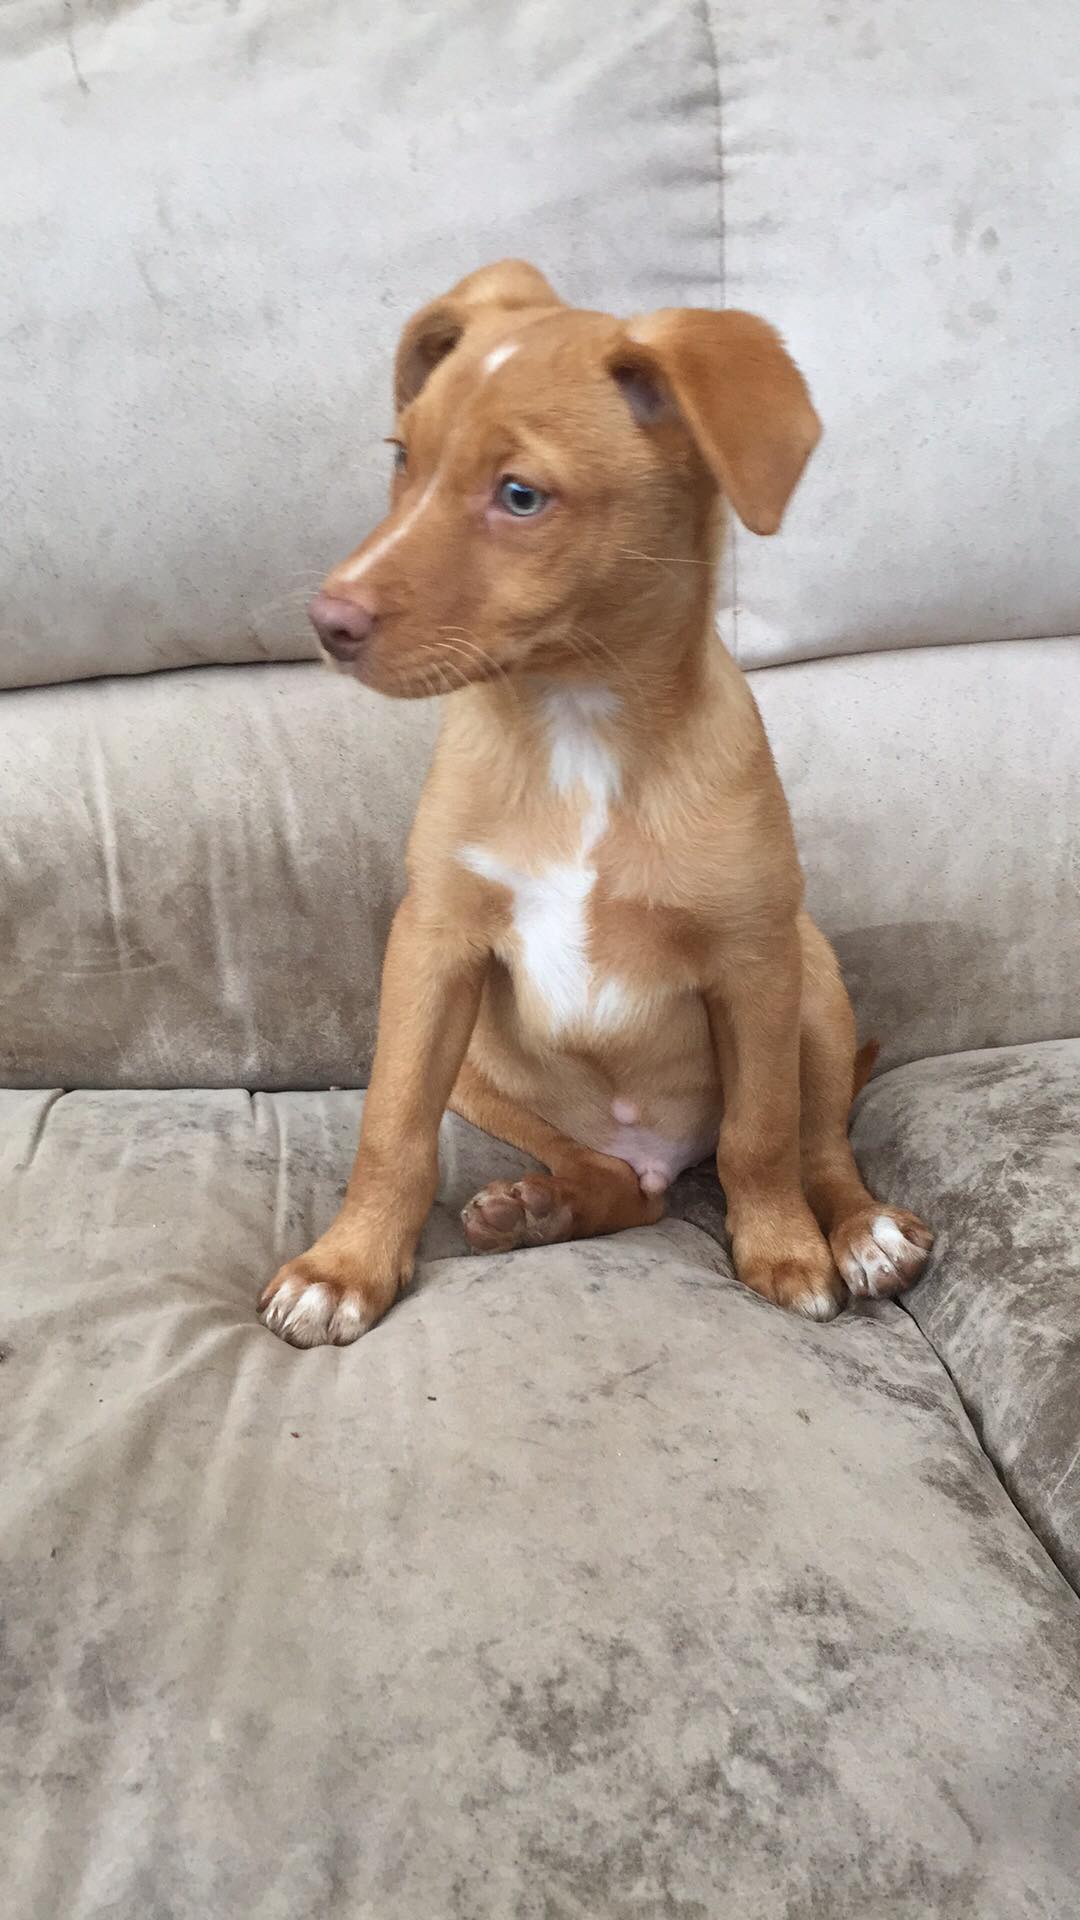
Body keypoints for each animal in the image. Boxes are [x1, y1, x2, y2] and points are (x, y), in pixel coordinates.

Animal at [259, 259, 933, 1347]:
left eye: (520, 495)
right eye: (403, 459)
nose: (328, 622)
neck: (576, 728)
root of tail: (662, 1150)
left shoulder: (754, 961)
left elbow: (762, 1133)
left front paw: (784, 1250)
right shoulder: (432, 948)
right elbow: (392, 1127)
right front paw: (345, 1267)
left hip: (816, 981)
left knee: (816, 1140)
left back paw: (860, 1232)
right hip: (485, 1069)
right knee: (618, 1182)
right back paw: (543, 1205)